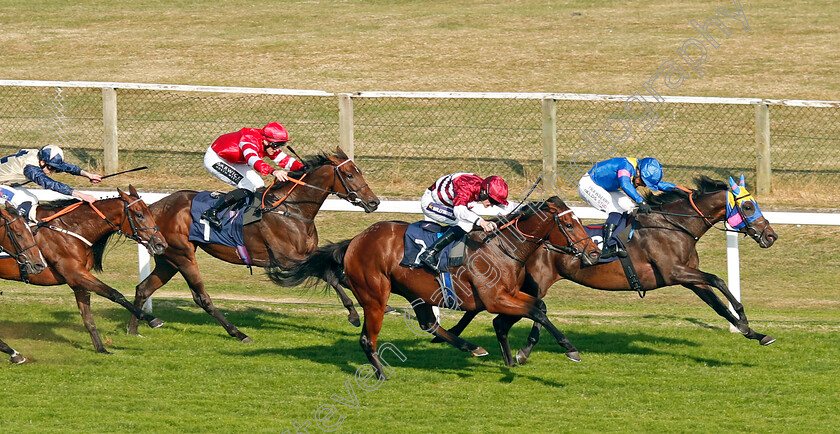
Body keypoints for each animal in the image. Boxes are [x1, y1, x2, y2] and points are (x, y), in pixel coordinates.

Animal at [127, 149, 378, 342]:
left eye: (359, 171)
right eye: (349, 174)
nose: (374, 202)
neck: (291, 208)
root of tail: (154, 208)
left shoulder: (307, 255)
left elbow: (337, 273)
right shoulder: (288, 260)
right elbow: (329, 274)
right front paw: (354, 315)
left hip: (167, 258)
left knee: (144, 289)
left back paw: (133, 329)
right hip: (183, 256)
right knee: (201, 298)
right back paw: (238, 333)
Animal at [268, 197, 596, 376]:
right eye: (569, 225)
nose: (592, 253)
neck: (503, 248)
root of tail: (355, 241)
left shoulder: (511, 294)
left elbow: (536, 307)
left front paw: (512, 357)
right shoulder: (497, 298)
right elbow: (534, 311)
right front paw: (570, 349)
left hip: (417, 293)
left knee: (429, 324)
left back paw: (471, 346)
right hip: (375, 296)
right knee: (367, 339)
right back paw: (382, 374)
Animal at [440, 175, 780, 364]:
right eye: (748, 206)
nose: (771, 236)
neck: (674, 225)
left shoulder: (688, 279)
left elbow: (718, 303)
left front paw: (755, 332)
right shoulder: (674, 272)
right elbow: (719, 279)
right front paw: (746, 320)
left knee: (508, 317)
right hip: (532, 283)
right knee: (514, 315)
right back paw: (522, 351)